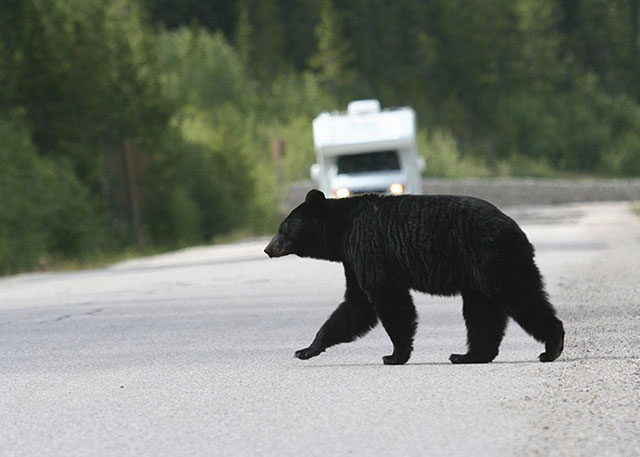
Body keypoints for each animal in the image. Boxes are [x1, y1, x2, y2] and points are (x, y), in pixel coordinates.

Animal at [264, 189, 564, 364]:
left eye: (282, 228)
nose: (267, 249)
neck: (342, 231)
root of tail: (518, 230)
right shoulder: (353, 260)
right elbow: (355, 306)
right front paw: (306, 349)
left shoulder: (369, 248)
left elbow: (387, 300)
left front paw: (394, 355)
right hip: (477, 273)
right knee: (481, 312)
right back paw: (469, 355)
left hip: (492, 257)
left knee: (519, 295)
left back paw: (552, 347)